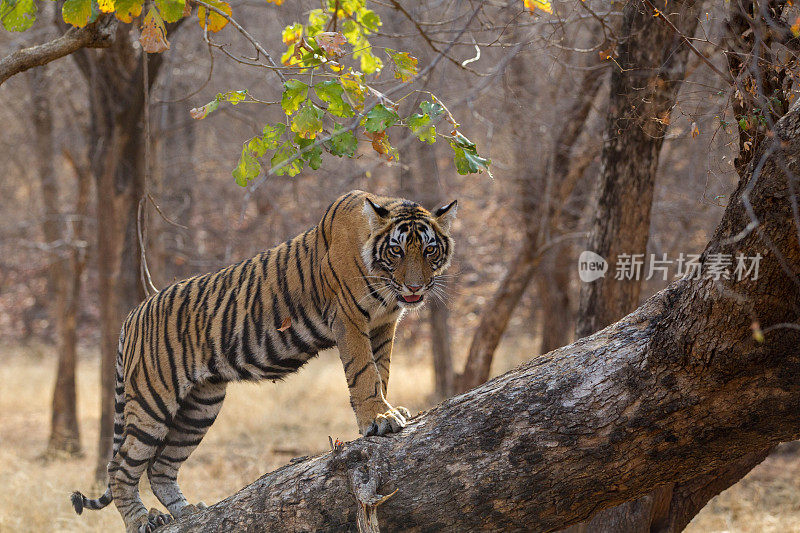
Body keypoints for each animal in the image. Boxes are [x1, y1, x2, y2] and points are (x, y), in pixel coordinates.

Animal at [72, 191, 460, 532]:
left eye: (429, 250)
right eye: (396, 250)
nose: (414, 288)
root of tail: (132, 314)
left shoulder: (383, 324)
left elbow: (382, 371)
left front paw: (387, 411)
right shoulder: (349, 319)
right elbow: (364, 373)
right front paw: (379, 419)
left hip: (200, 407)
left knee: (161, 467)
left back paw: (188, 512)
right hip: (153, 401)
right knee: (120, 467)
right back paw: (141, 520)